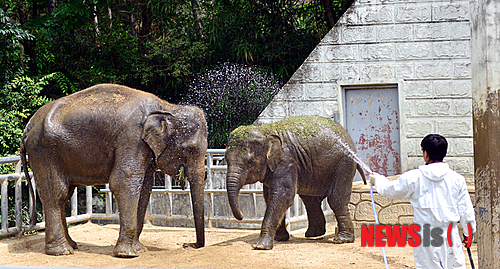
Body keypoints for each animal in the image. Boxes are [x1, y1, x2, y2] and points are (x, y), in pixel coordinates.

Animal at [20, 83, 208, 255]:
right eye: (189, 150)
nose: (188, 244)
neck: (167, 107)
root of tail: (29, 125)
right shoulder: (131, 139)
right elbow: (124, 183)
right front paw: (128, 254)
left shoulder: (144, 148)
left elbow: (144, 188)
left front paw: (140, 249)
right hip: (44, 151)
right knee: (56, 194)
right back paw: (62, 251)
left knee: (64, 195)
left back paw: (72, 246)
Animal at [225, 114, 366, 249]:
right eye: (225, 160)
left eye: (250, 163)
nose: (242, 216)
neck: (266, 131)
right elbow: (270, 196)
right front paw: (279, 239)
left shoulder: (286, 161)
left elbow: (282, 195)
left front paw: (260, 246)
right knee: (310, 200)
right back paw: (313, 235)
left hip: (344, 164)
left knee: (335, 199)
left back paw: (342, 240)